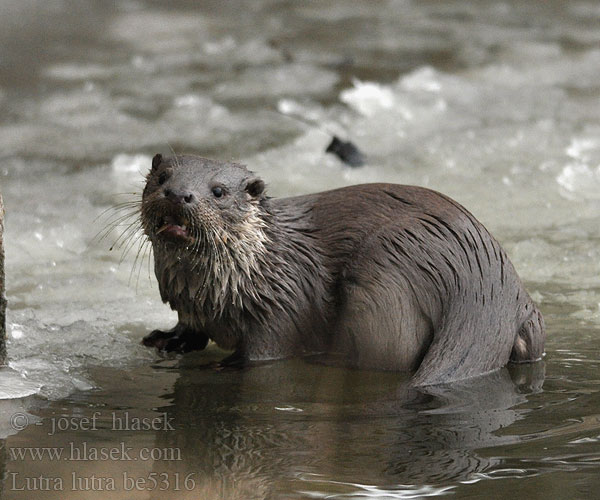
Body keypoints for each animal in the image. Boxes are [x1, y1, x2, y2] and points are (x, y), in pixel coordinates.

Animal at [139, 154, 544, 384]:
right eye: (162, 178)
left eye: (218, 191)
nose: (179, 195)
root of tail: (485, 280)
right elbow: (190, 329)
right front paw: (168, 339)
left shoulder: (282, 304)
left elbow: (266, 352)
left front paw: (226, 365)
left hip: (384, 275)